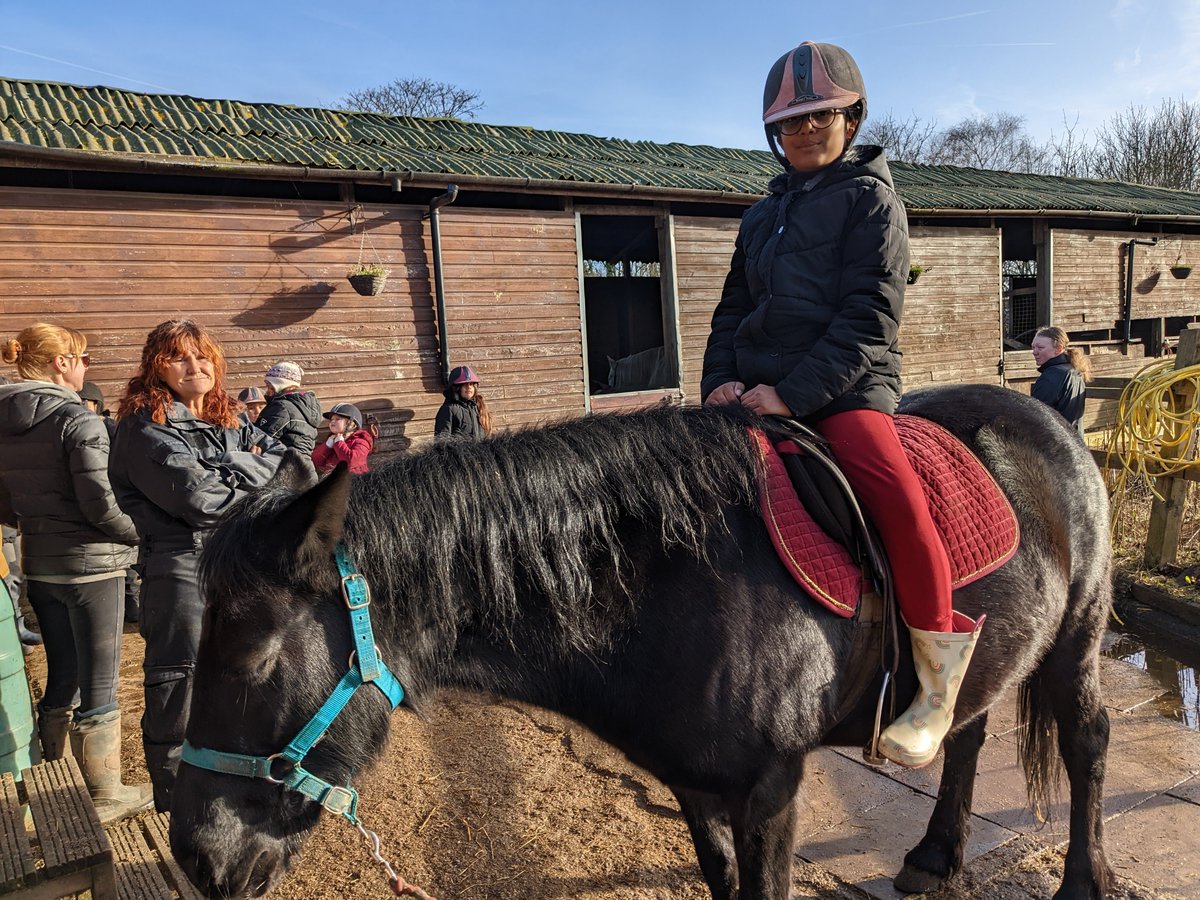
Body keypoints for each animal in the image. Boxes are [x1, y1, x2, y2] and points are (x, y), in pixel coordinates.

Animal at [169, 384, 1114, 899]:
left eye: (255, 658)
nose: (198, 858)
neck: (676, 581)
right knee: (968, 732)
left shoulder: (771, 791)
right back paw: (934, 854)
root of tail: (1047, 418)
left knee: (1085, 741)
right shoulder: (696, 789)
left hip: (1078, 635)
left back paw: (1083, 879)